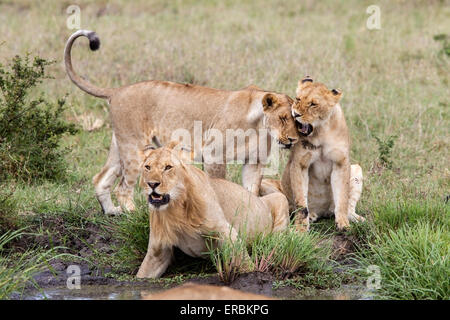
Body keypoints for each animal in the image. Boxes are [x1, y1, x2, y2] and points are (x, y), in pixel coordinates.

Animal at [63, 30, 298, 215]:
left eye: (297, 120)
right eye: (283, 118)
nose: (293, 140)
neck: (260, 127)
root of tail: (117, 90)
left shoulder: (254, 162)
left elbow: (252, 192)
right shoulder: (214, 155)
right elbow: (217, 187)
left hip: (120, 144)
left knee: (101, 179)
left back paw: (112, 212)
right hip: (134, 148)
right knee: (123, 189)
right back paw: (132, 214)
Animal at [135, 142, 288, 278]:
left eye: (168, 167)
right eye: (147, 167)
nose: (152, 184)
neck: (175, 209)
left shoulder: (226, 231)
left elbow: (245, 263)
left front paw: (253, 275)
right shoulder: (157, 252)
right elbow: (142, 274)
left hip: (280, 199)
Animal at [262, 78, 364, 232]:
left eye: (313, 104)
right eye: (298, 99)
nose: (296, 114)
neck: (320, 131)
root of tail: (323, 213)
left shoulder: (341, 163)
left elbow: (342, 198)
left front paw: (343, 224)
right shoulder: (300, 164)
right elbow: (301, 202)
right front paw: (301, 229)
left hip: (356, 168)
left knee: (348, 207)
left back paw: (356, 219)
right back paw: (311, 216)